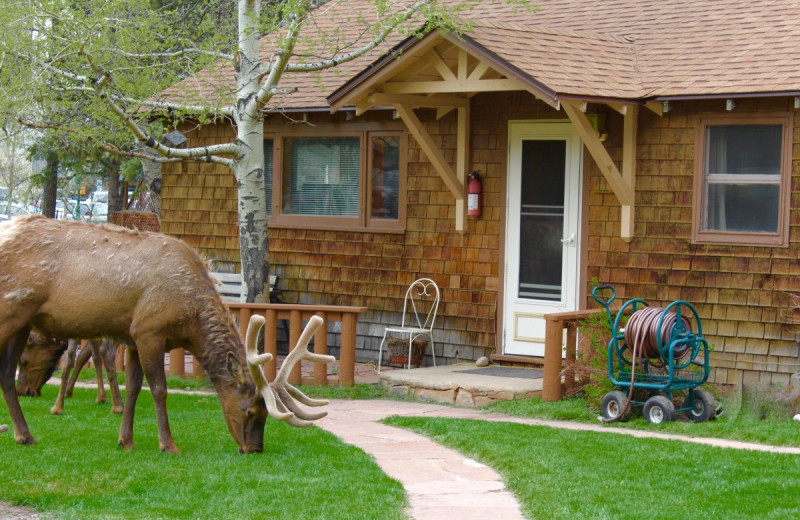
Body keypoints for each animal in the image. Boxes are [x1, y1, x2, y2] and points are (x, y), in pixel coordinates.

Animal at [0, 214, 332, 450]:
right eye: (251, 411)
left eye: (265, 414)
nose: (255, 448)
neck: (190, 320)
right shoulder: (149, 329)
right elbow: (158, 389)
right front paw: (168, 444)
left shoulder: (132, 336)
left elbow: (134, 387)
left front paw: (126, 440)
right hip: (11, 310)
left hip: (23, 321)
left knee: (7, 373)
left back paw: (25, 435)